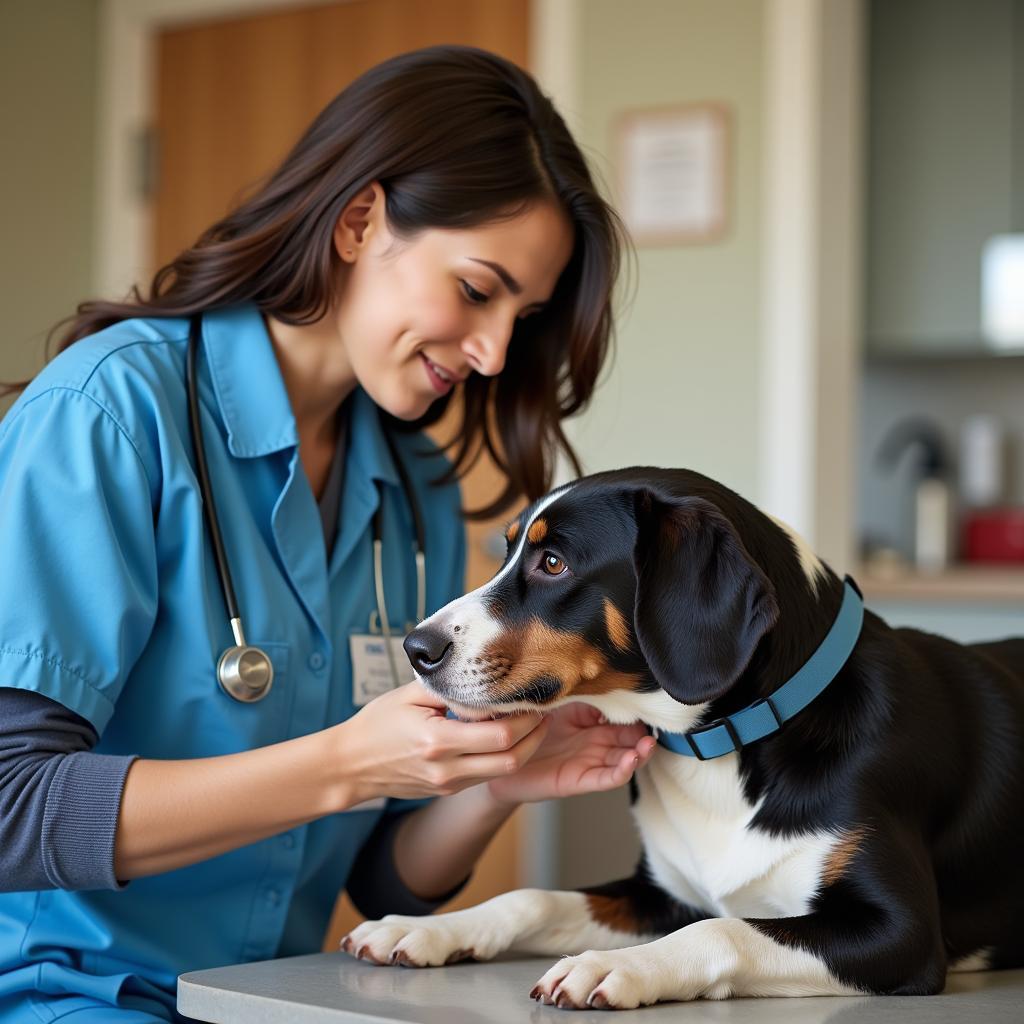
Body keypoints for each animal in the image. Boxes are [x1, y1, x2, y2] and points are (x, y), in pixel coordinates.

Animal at [337, 468, 1024, 1007]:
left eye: (553, 562)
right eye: (508, 551)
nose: (417, 648)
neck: (723, 752)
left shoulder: (899, 932)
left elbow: (724, 930)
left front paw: (615, 967)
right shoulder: (660, 895)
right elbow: (532, 899)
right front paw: (425, 929)